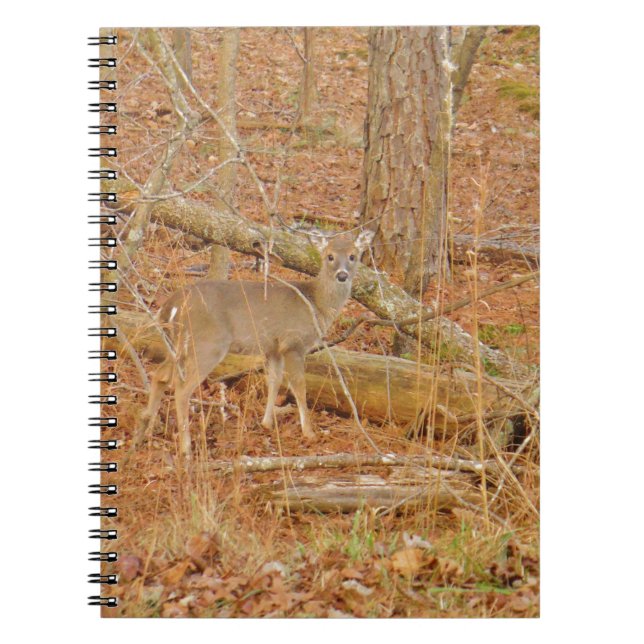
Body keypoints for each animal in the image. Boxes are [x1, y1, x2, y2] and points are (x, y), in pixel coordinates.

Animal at [132, 229, 374, 460]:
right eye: (329, 256)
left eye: (353, 256)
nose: (342, 275)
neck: (316, 305)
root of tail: (172, 303)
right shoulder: (293, 343)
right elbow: (298, 386)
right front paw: (309, 432)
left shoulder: (273, 348)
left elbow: (274, 381)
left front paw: (266, 423)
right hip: (208, 343)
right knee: (182, 388)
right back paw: (186, 449)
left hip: (178, 345)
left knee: (160, 375)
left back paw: (145, 431)